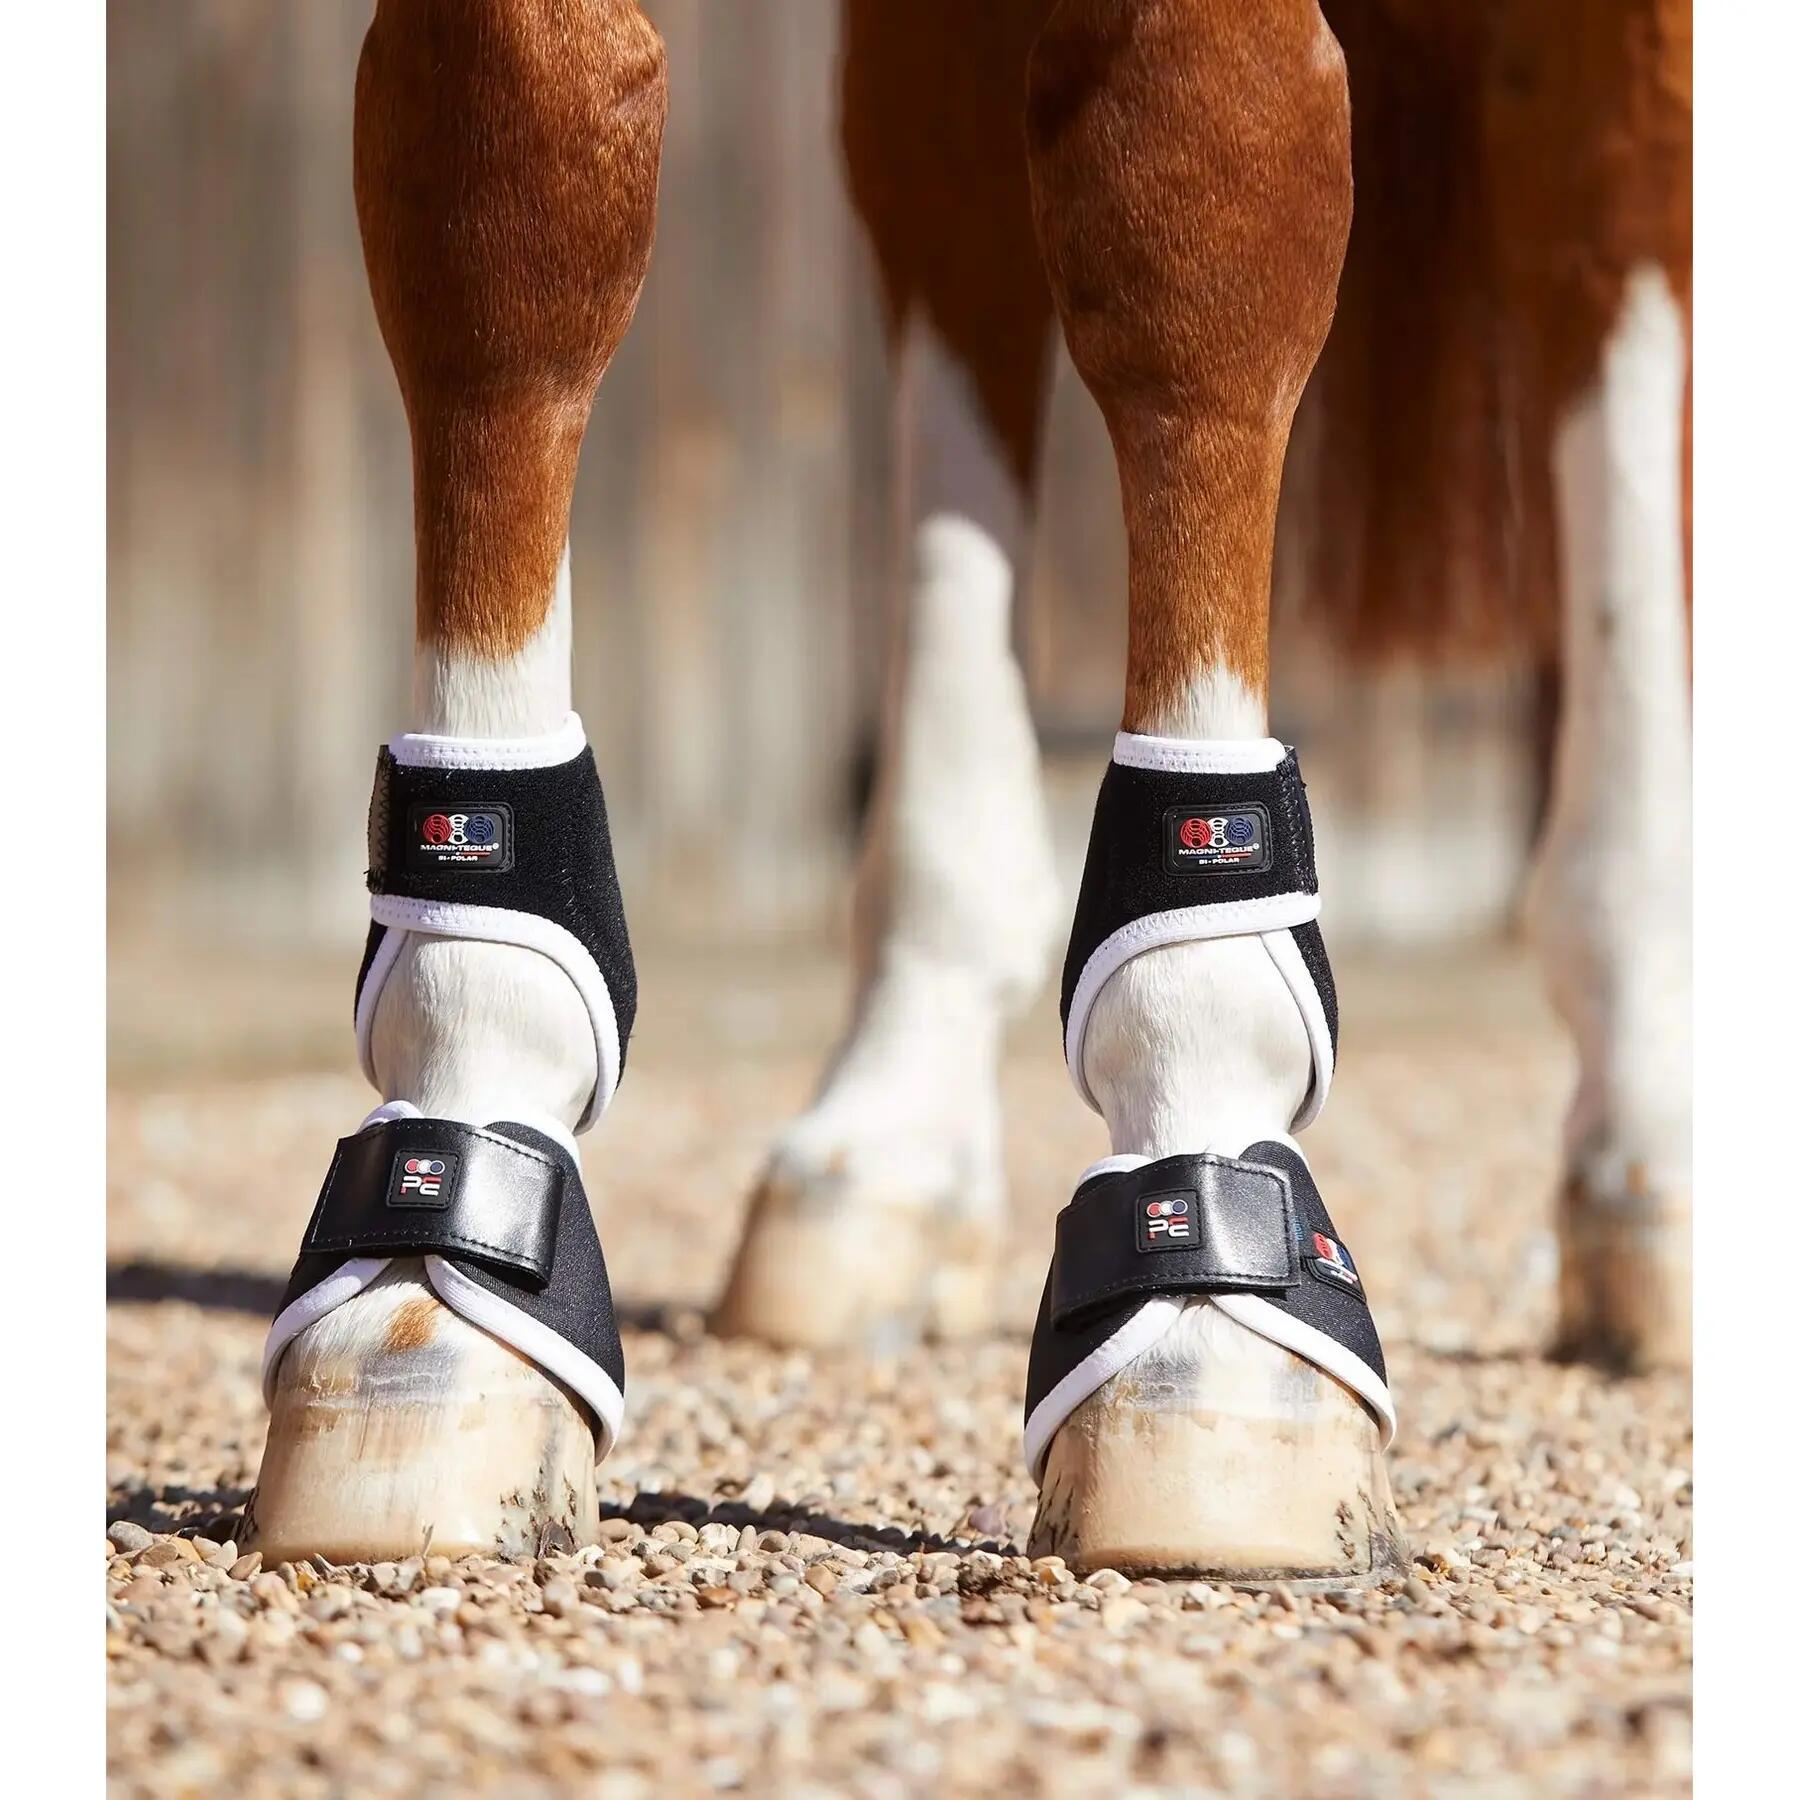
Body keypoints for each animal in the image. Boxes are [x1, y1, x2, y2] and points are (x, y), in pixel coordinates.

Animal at [246, 0, 1691, 1585]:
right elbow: (512, 208)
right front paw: (435, 1282)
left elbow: (1198, 204)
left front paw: (1211, 1260)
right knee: (952, 214)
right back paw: (885, 1143)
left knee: (1611, 225)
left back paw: (1653, 1136)